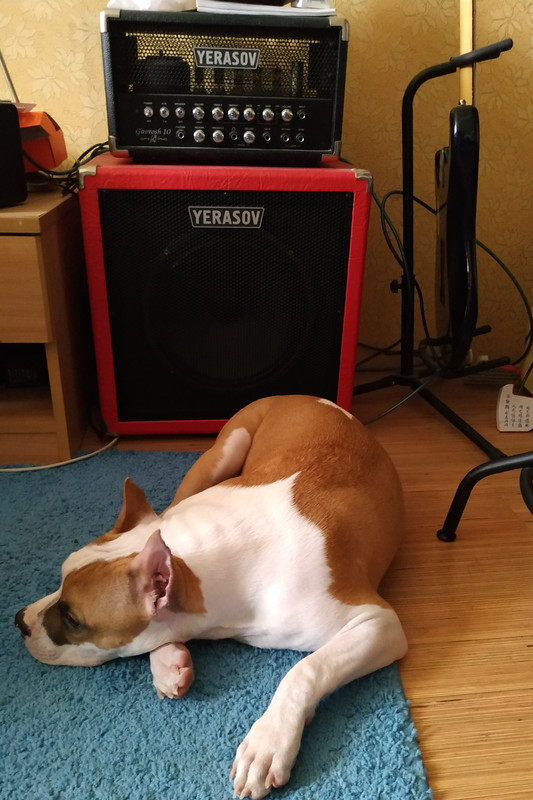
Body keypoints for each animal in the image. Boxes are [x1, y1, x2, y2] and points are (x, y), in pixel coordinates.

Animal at [15, 394, 407, 800]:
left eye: (73, 620)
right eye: (61, 578)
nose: (19, 622)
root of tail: (302, 395)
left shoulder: (378, 624)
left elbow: (307, 668)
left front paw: (268, 743)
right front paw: (168, 658)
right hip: (219, 456)